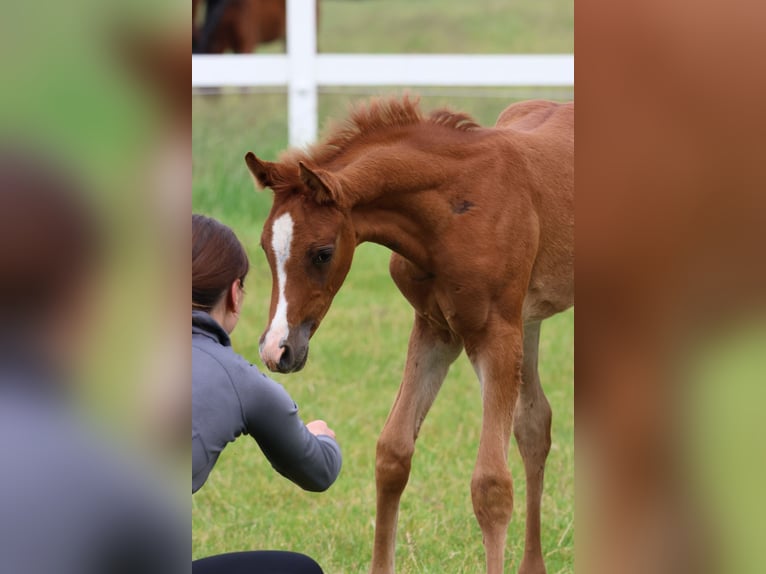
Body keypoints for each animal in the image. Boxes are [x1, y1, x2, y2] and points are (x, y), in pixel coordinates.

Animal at [249, 99, 572, 574]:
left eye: (322, 253)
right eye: (265, 248)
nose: (277, 350)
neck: (454, 210)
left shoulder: (494, 332)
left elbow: (491, 484)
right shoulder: (435, 329)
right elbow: (393, 453)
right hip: (528, 320)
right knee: (534, 425)